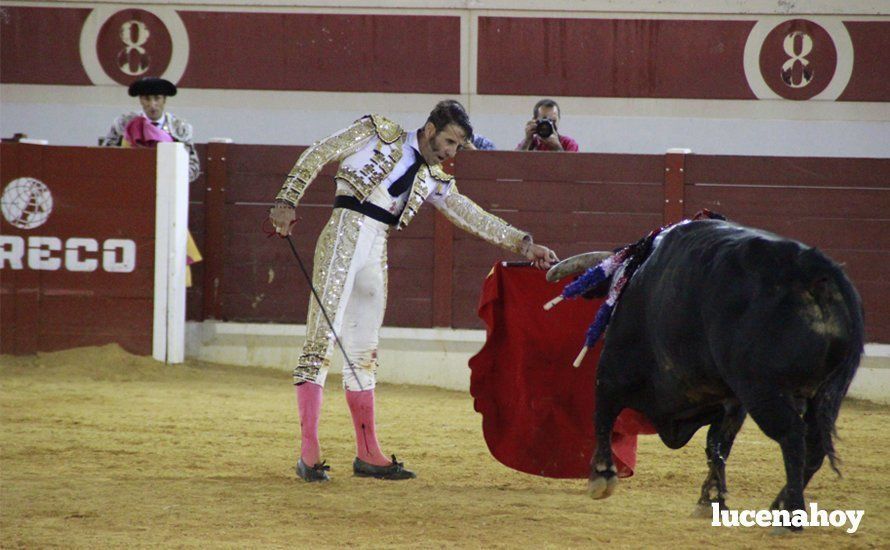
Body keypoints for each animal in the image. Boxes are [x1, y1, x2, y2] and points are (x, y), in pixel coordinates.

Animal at [584, 219, 860, 528]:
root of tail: (812, 268)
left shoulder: (613, 370)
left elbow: (603, 412)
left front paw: (601, 476)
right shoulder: (731, 400)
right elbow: (717, 444)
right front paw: (711, 500)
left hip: (762, 389)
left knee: (792, 435)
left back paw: (789, 516)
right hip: (828, 392)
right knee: (814, 445)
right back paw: (779, 506)